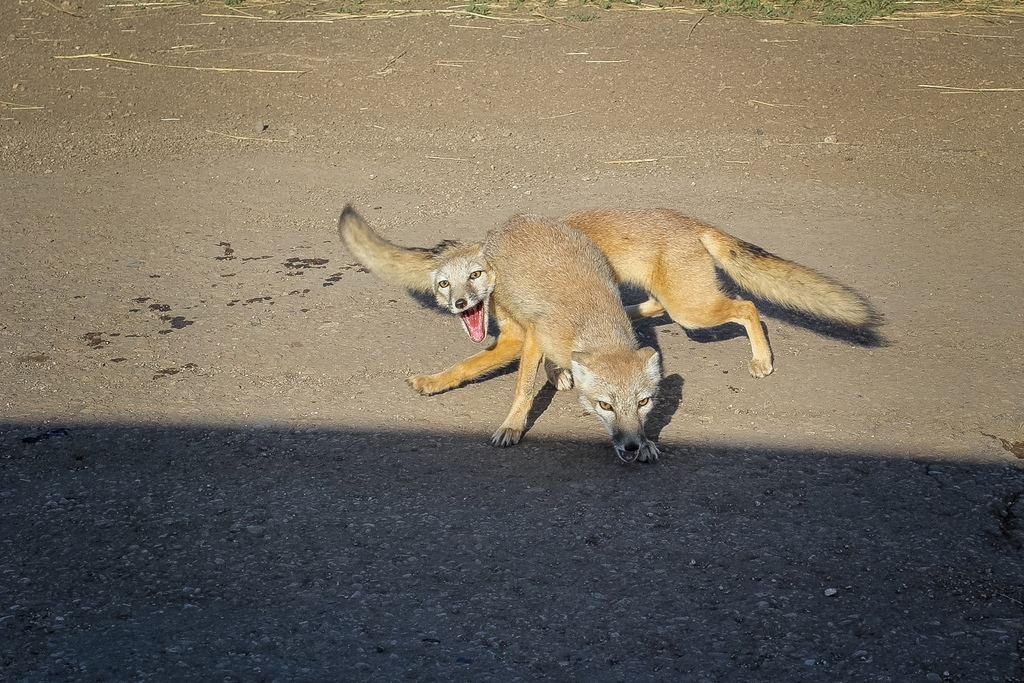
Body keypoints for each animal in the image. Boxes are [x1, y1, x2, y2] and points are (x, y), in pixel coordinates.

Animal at [335, 206, 659, 464]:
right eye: (605, 405)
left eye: (643, 403)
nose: (631, 446)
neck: (593, 322)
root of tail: (516, 219)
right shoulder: (532, 337)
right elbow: (518, 388)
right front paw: (512, 425)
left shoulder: (528, 339)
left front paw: (646, 443)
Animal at [337, 206, 880, 378]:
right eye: (444, 284)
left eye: (476, 277)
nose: (462, 306)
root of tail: (688, 220)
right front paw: (561, 378)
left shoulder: (515, 336)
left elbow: (465, 367)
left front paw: (429, 383)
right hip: (677, 299)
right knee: (655, 305)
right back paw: (633, 311)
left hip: (694, 311)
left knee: (746, 307)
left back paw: (762, 358)